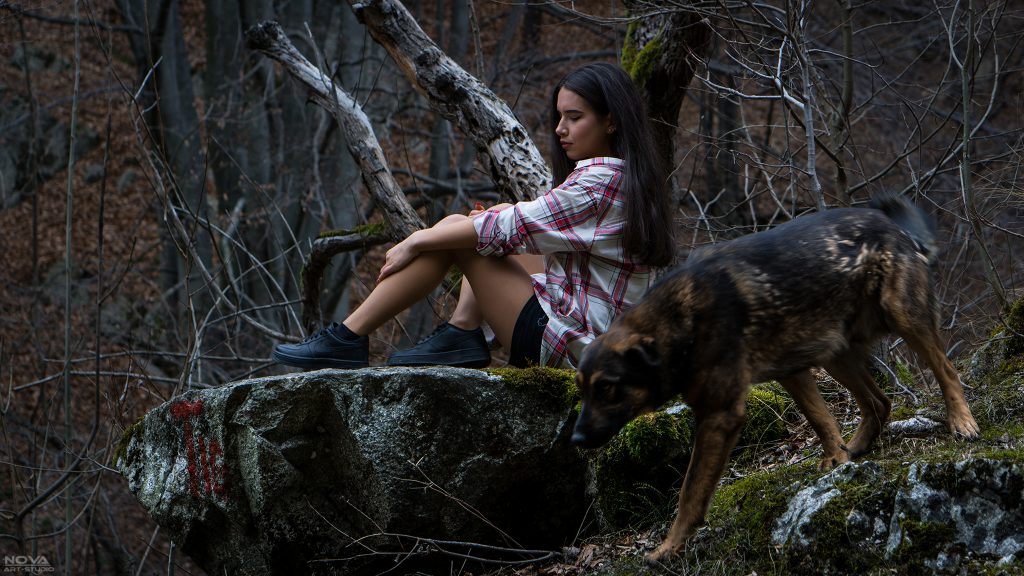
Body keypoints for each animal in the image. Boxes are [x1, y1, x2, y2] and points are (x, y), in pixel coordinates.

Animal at [573, 195, 978, 561]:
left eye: (607, 388)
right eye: (582, 391)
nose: (575, 439)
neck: (675, 323)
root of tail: (893, 227)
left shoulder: (719, 416)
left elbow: (690, 491)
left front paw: (669, 547)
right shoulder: (793, 371)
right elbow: (821, 420)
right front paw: (838, 460)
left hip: (903, 316)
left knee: (945, 370)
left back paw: (962, 421)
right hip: (833, 352)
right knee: (879, 402)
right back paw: (858, 446)